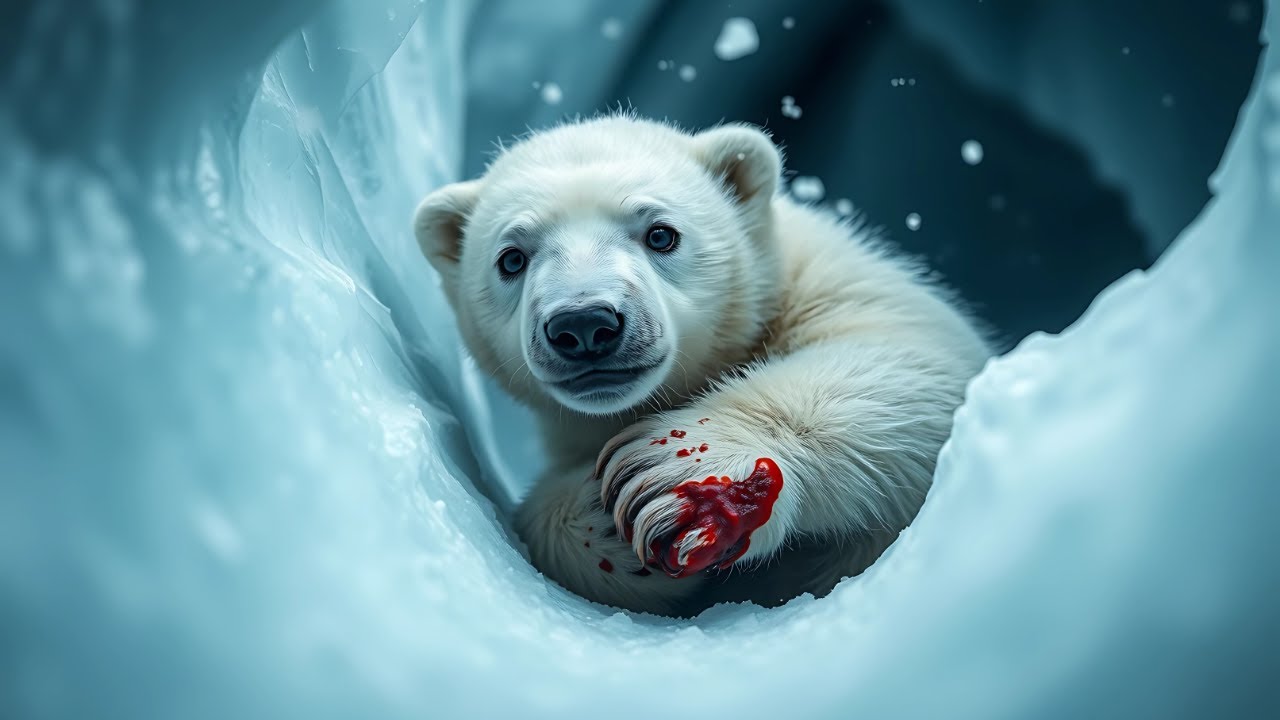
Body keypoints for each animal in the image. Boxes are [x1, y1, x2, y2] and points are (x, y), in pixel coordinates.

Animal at [413, 115, 991, 615]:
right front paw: (598, 522)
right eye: (511, 257)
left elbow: (914, 362)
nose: (584, 324)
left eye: (661, 233)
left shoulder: (826, 281)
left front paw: (670, 474)